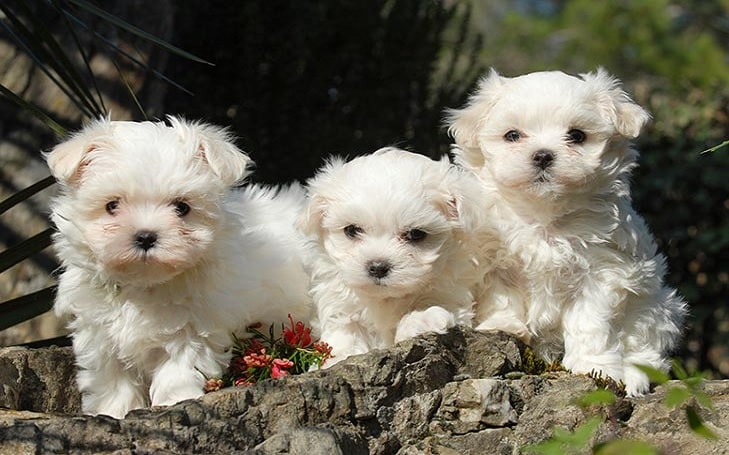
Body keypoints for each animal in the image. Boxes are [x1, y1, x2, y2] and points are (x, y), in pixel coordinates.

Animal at [47, 118, 310, 420]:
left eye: (182, 207)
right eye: (111, 205)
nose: (145, 236)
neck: (144, 285)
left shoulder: (194, 327)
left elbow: (179, 368)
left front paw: (175, 400)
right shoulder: (98, 332)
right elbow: (112, 378)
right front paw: (113, 411)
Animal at [298, 148, 486, 368]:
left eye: (416, 234)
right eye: (352, 230)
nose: (378, 266)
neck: (386, 299)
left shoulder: (450, 293)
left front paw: (421, 320)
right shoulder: (341, 307)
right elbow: (345, 333)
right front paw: (336, 357)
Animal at [446, 68, 684, 396]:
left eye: (577, 136)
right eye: (512, 135)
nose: (543, 155)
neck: (544, 217)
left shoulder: (601, 272)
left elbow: (590, 323)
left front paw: (593, 366)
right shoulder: (494, 258)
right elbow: (501, 294)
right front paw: (502, 325)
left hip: (656, 307)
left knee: (646, 349)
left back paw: (634, 377)